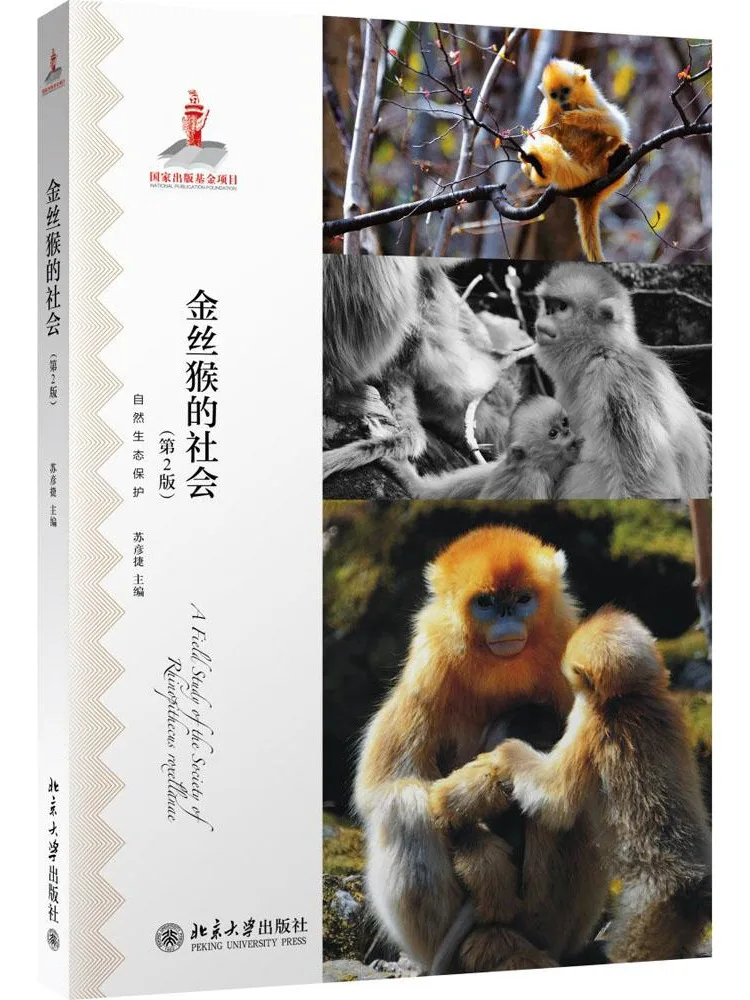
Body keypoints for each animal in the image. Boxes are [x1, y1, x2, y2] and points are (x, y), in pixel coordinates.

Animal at [353, 526, 609, 974]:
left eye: (522, 599)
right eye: (486, 603)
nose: (507, 618)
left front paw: (485, 787)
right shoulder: (426, 675)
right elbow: (381, 788)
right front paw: (484, 860)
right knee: (405, 806)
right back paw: (482, 943)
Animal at [382, 396, 584, 500]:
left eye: (565, 423)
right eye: (553, 433)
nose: (568, 432)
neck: (529, 465)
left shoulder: (498, 465)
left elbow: (429, 494)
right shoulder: (533, 483)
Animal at [492, 607, 711, 962]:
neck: (629, 698)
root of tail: (691, 885)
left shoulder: (588, 723)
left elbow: (556, 798)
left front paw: (508, 752)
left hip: (647, 909)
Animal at [520, 59, 631, 262]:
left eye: (565, 91)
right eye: (554, 95)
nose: (562, 102)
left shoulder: (595, 99)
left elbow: (618, 124)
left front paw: (577, 117)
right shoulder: (548, 112)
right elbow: (537, 137)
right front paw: (527, 164)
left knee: (618, 140)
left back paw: (616, 161)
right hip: (574, 177)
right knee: (551, 151)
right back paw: (539, 166)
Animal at [533, 264, 710, 499]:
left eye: (561, 307)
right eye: (548, 306)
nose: (544, 320)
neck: (601, 353)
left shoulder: (614, 379)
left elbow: (649, 486)